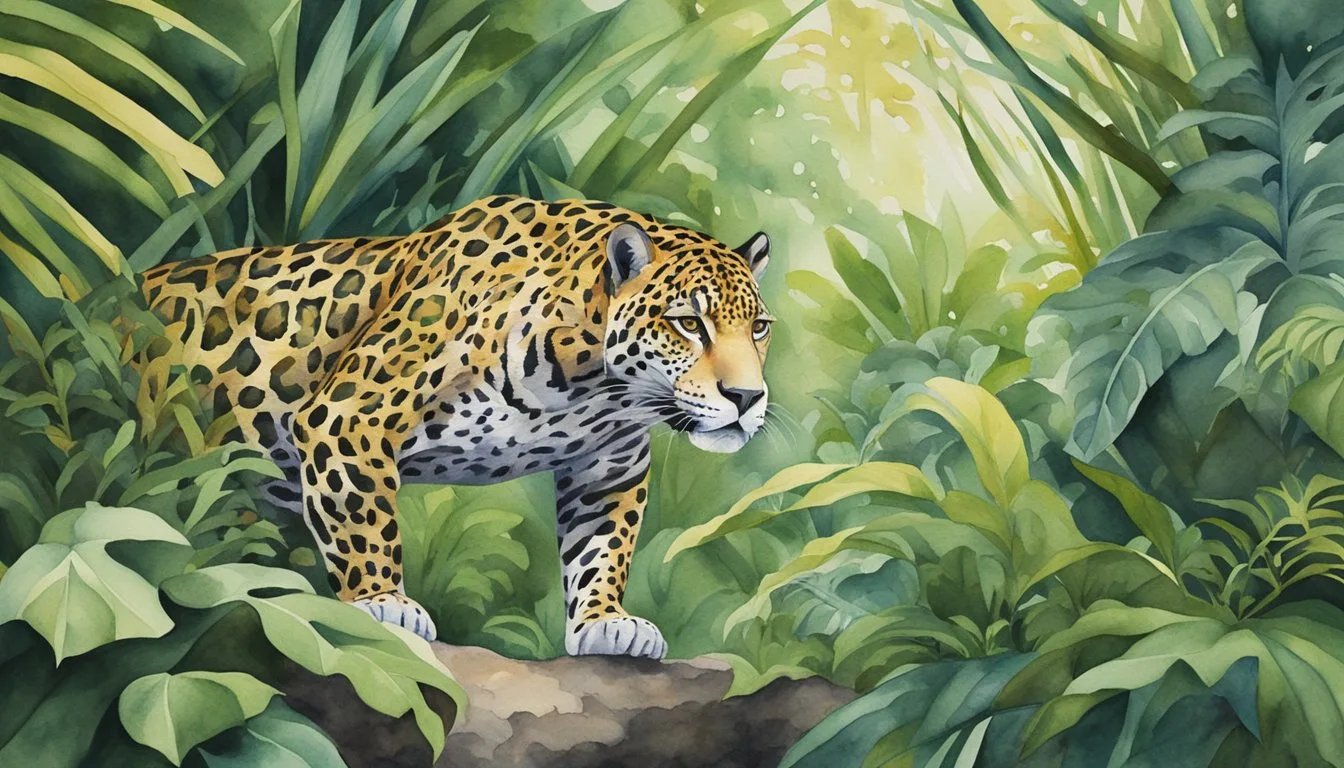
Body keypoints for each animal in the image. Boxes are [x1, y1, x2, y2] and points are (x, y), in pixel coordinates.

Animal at [140, 194, 773, 659]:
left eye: (759, 327)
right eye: (688, 323)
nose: (747, 397)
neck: (590, 384)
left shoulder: (608, 467)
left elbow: (604, 547)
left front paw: (604, 623)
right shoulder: (348, 417)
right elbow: (364, 522)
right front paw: (381, 601)